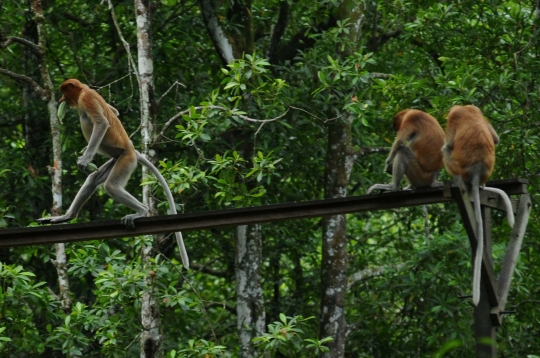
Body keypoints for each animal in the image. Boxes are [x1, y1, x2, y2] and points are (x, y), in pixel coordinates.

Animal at [38, 78, 190, 268]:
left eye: (64, 93)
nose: (60, 100)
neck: (83, 90)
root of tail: (131, 149)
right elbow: (115, 112)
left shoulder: (87, 99)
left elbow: (102, 123)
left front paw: (85, 159)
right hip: (116, 159)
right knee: (93, 179)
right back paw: (66, 216)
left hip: (126, 160)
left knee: (111, 186)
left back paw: (141, 211)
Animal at [442, 105, 516, 306]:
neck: (465, 109)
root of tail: (476, 174)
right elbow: (496, 139)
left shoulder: (454, 117)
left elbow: (448, 145)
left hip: (456, 168)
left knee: (445, 150)